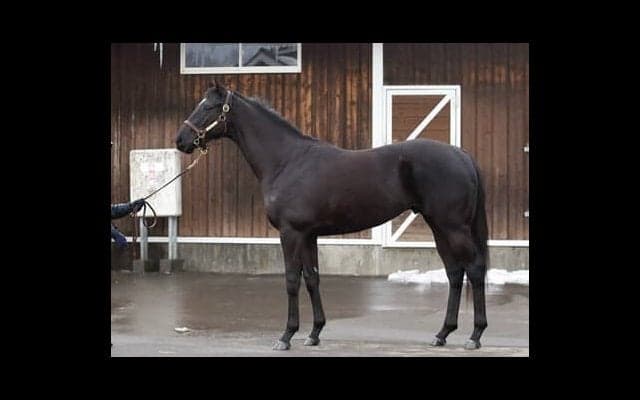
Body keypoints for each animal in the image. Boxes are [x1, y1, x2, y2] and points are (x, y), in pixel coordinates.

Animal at [175, 81, 489, 351]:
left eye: (208, 107)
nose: (181, 140)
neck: (287, 161)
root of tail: (461, 155)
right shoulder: (308, 235)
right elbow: (312, 278)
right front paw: (314, 333)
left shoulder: (291, 233)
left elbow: (292, 279)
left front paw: (286, 336)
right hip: (438, 227)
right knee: (455, 273)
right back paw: (442, 333)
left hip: (453, 227)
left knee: (474, 269)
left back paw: (475, 335)